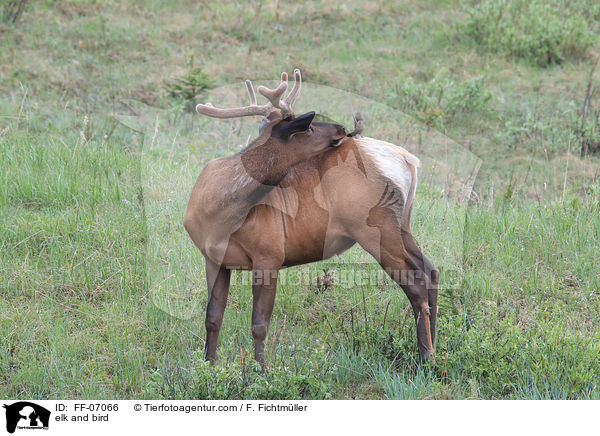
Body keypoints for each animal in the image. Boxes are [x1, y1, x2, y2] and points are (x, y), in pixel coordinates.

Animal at [184, 69, 440, 368]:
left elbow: (259, 324)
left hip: (376, 227)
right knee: (430, 271)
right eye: (306, 126)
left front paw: (261, 372)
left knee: (416, 283)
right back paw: (434, 348)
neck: (219, 212)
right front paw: (209, 365)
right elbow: (213, 317)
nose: (343, 127)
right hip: (402, 225)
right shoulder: (214, 259)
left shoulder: (270, 253)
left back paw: (426, 358)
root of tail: (408, 159)